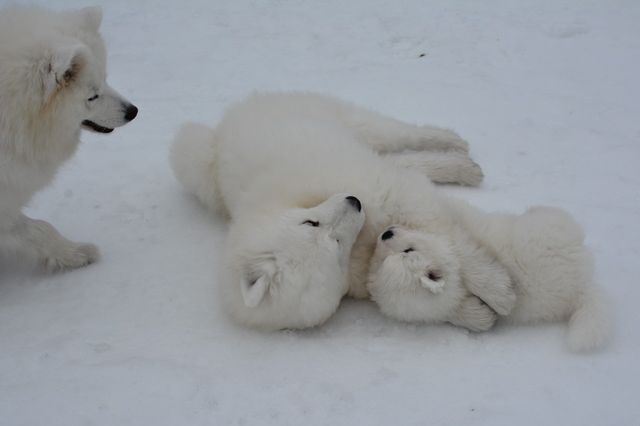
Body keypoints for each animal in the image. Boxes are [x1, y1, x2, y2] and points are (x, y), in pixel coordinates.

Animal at [170, 91, 510, 332]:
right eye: (334, 245)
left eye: (310, 222)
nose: (353, 200)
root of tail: (220, 129)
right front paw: (473, 313)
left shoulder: (389, 191)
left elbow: (457, 243)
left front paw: (500, 290)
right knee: (405, 161)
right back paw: (460, 165)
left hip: (346, 122)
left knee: (400, 134)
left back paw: (454, 146)